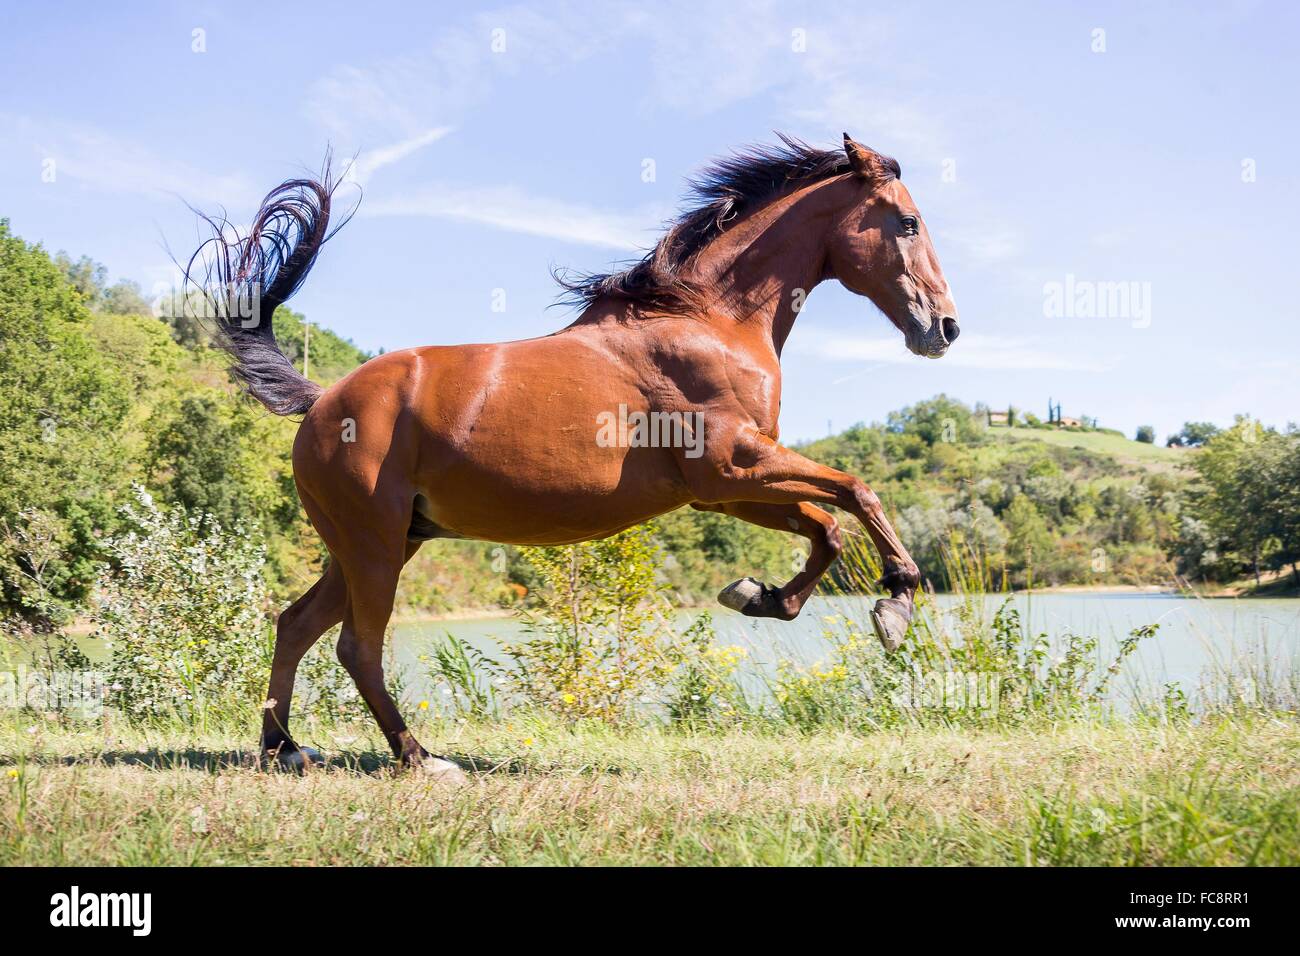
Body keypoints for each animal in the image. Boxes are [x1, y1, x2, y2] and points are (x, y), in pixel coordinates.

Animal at [188, 136, 961, 780]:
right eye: (908, 222)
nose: (945, 328)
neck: (706, 319)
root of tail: (321, 399)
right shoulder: (735, 463)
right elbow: (857, 490)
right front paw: (895, 603)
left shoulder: (728, 487)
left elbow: (826, 528)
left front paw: (761, 596)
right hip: (373, 546)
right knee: (357, 646)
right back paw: (420, 758)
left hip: (378, 543)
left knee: (296, 625)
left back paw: (285, 748)